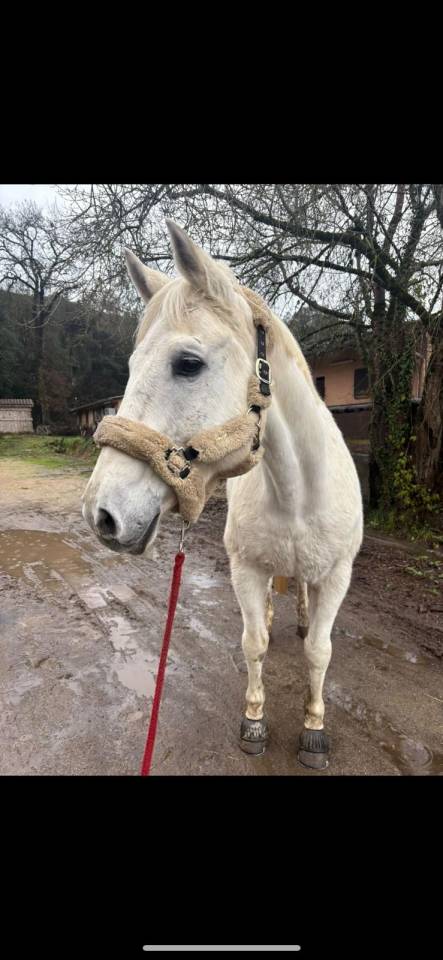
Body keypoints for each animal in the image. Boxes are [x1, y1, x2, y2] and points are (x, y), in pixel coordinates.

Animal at [82, 220, 363, 770]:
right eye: (131, 364)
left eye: (188, 363)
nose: (100, 515)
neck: (297, 494)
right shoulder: (246, 570)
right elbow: (253, 643)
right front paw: (253, 721)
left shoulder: (337, 575)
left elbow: (320, 652)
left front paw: (314, 728)